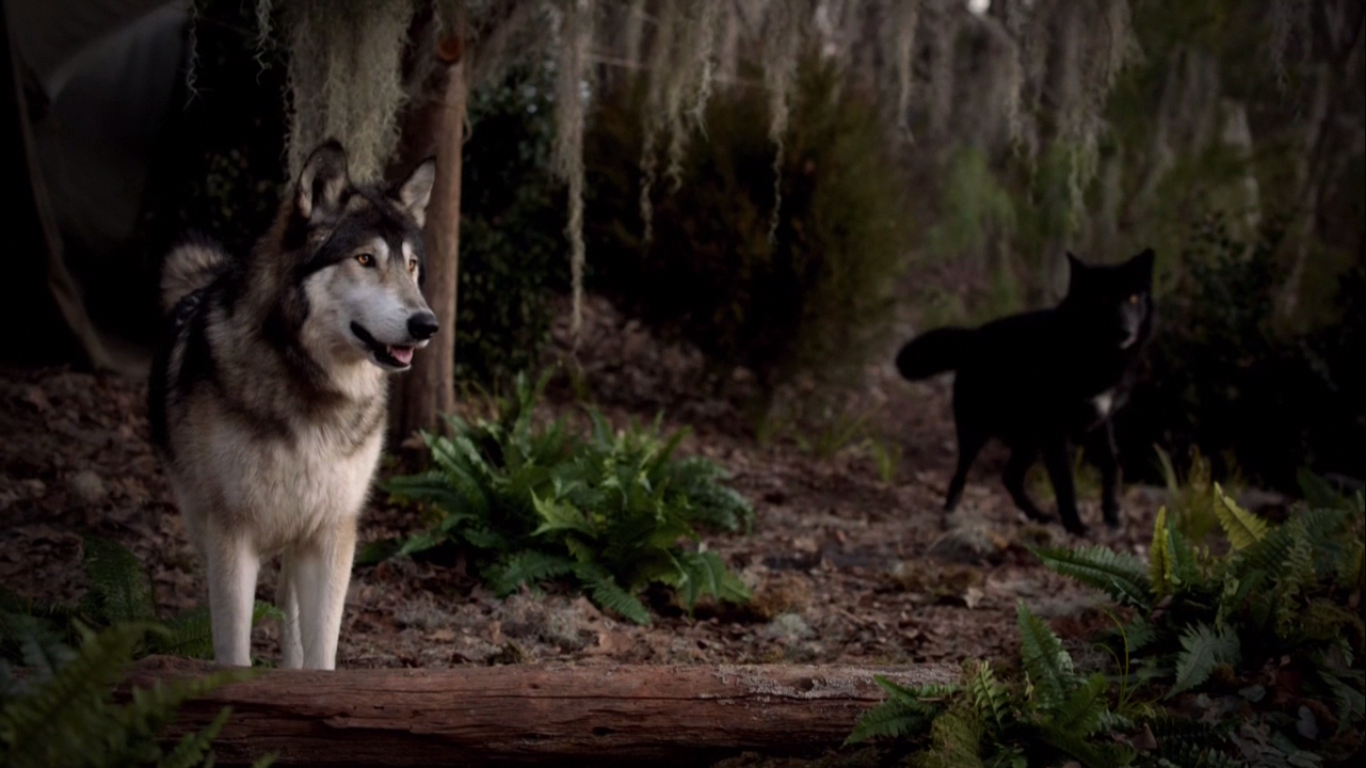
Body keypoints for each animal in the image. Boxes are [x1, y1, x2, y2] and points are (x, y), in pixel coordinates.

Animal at [148, 140, 437, 666]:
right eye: (365, 259)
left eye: (410, 266)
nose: (427, 325)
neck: (313, 390)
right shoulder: (232, 536)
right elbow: (234, 651)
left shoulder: (332, 534)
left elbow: (321, 650)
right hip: (201, 522)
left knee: (290, 610)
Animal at [896, 250, 1152, 532]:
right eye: (1103, 298)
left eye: (1133, 298)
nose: (1126, 331)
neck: (1095, 357)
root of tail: (976, 335)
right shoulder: (1055, 434)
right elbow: (1065, 483)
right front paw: (1076, 526)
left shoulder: (1099, 422)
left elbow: (1113, 466)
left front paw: (1112, 515)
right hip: (979, 434)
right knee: (961, 474)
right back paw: (949, 513)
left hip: (1029, 441)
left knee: (1009, 477)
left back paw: (1038, 516)